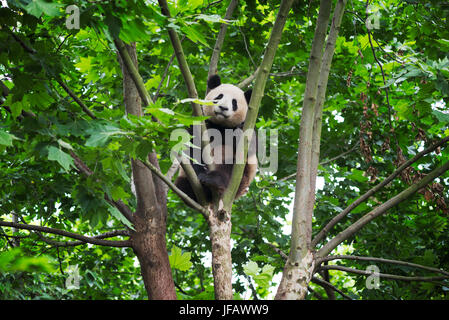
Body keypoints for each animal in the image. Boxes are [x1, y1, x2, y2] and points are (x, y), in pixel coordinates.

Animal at [176, 74, 260, 205]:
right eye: (219, 97)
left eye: (234, 103)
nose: (223, 108)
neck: (220, 125)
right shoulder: (200, 124)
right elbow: (191, 148)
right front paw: (200, 169)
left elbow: (252, 148)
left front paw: (239, 133)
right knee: (182, 186)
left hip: (242, 176)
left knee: (229, 167)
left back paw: (213, 180)